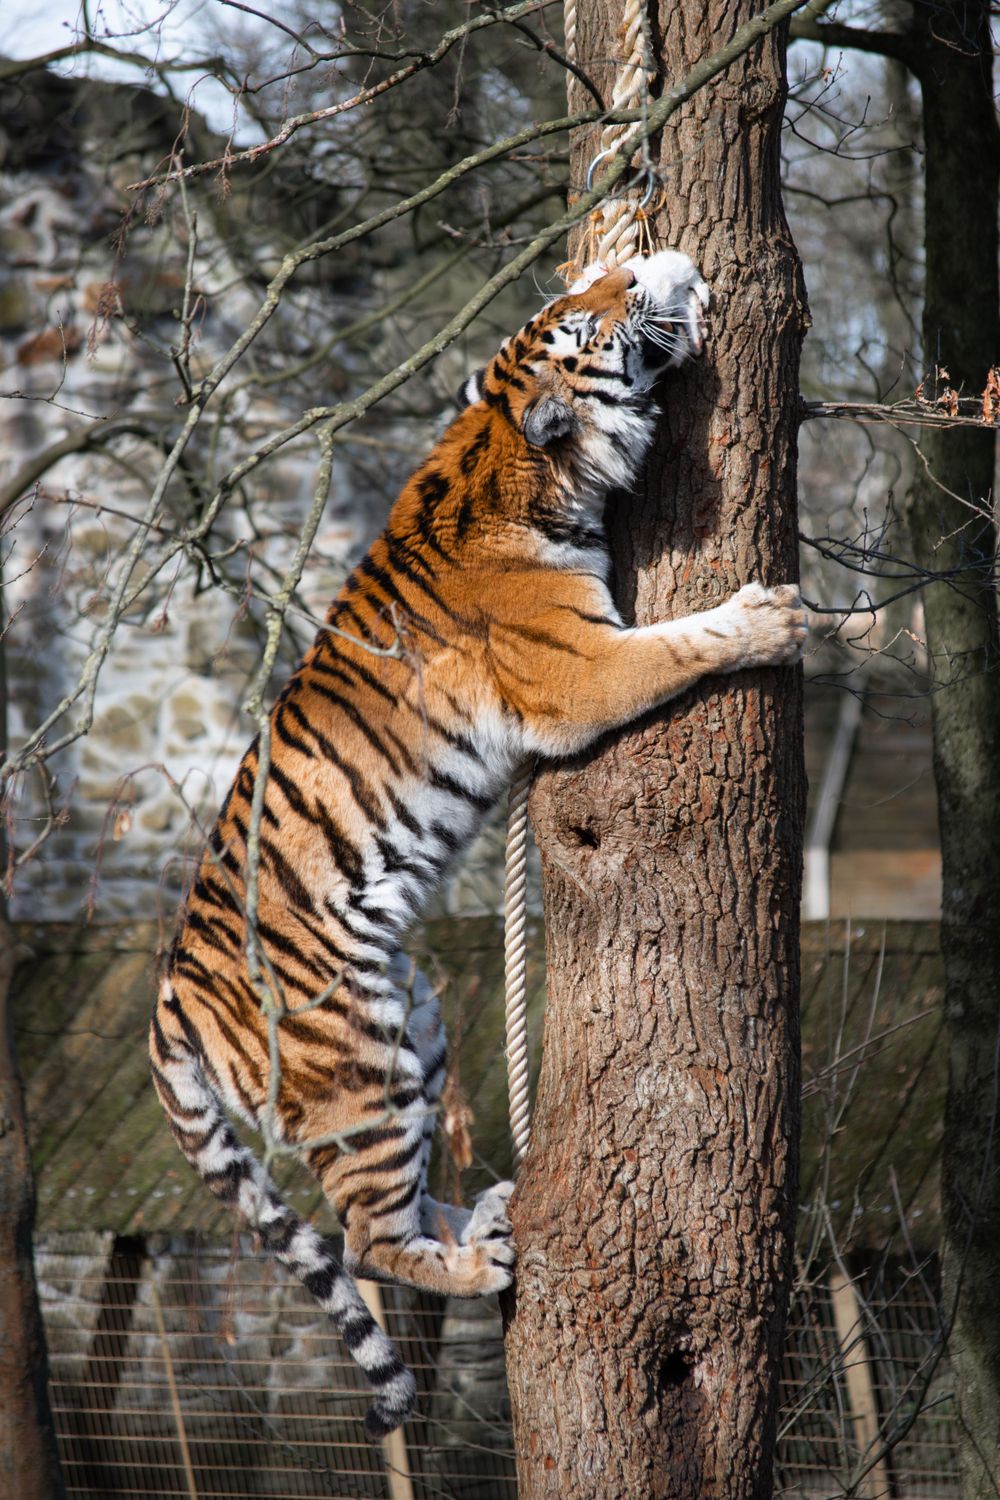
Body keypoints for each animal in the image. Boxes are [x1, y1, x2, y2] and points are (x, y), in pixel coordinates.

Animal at [149, 249, 806, 1438]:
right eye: (585, 322)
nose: (647, 258)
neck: (504, 449)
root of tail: (167, 998)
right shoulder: (583, 673)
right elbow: (686, 641)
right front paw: (770, 617)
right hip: (356, 1058)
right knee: (364, 1238)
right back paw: (478, 1263)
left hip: (414, 1017)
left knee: (400, 1202)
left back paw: (491, 1215)